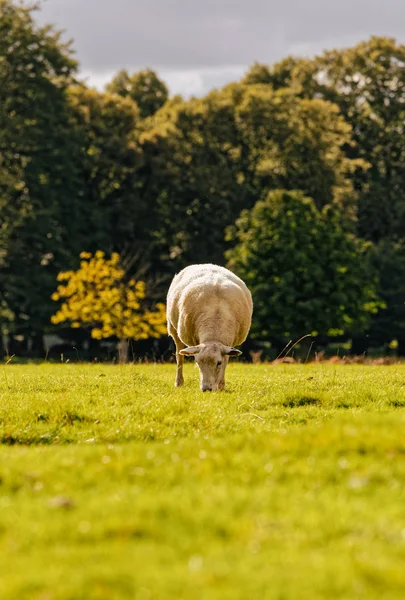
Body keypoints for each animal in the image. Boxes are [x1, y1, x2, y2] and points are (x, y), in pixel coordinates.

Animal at [166, 264, 251, 392]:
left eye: (218, 363)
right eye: (197, 362)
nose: (207, 389)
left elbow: (226, 361)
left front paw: (221, 386)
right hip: (173, 329)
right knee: (179, 356)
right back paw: (179, 382)